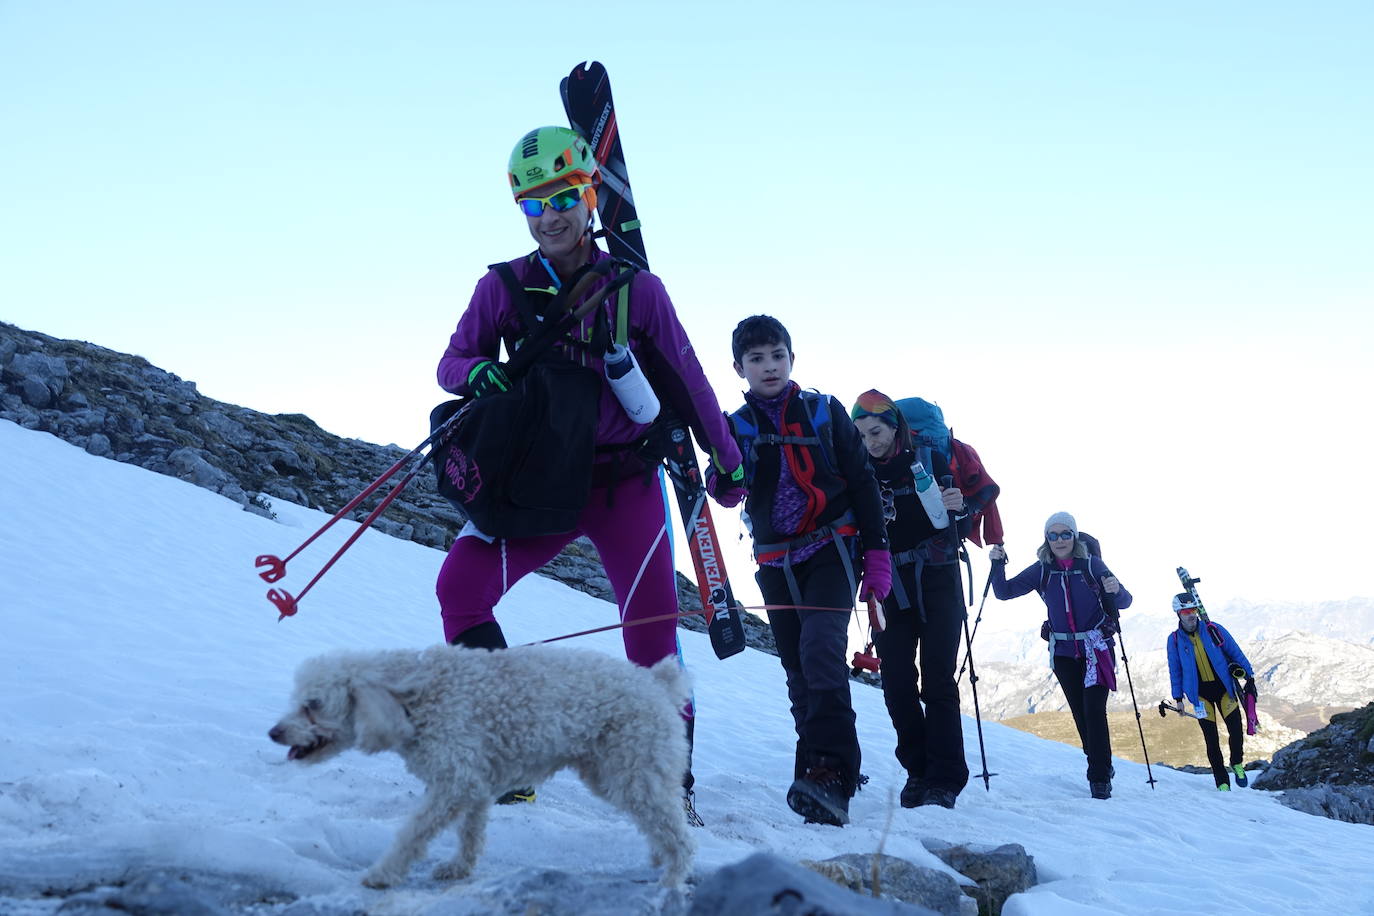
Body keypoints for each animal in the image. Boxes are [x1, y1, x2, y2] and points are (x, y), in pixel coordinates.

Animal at [267, 645, 697, 889]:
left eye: (314, 704)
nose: (274, 732)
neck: (413, 697)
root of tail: (657, 684)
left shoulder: (455, 779)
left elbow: (413, 832)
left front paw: (383, 874)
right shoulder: (474, 779)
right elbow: (470, 832)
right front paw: (459, 868)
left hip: (633, 766)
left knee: (676, 831)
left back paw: (672, 878)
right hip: (611, 772)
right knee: (657, 818)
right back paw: (659, 858)